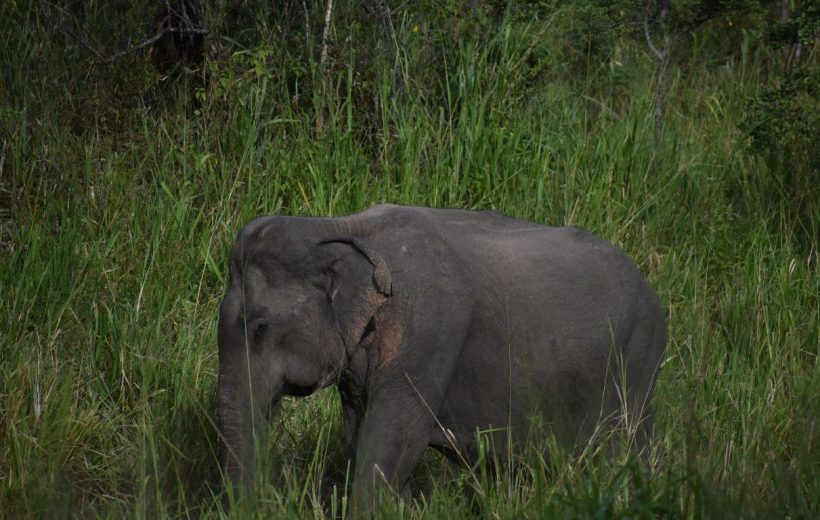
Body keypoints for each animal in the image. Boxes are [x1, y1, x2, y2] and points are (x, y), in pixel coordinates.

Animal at [218, 204, 668, 512]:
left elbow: (391, 440)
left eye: (260, 326)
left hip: (637, 362)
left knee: (625, 450)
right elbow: (359, 435)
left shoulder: (429, 331)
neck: (338, 227)